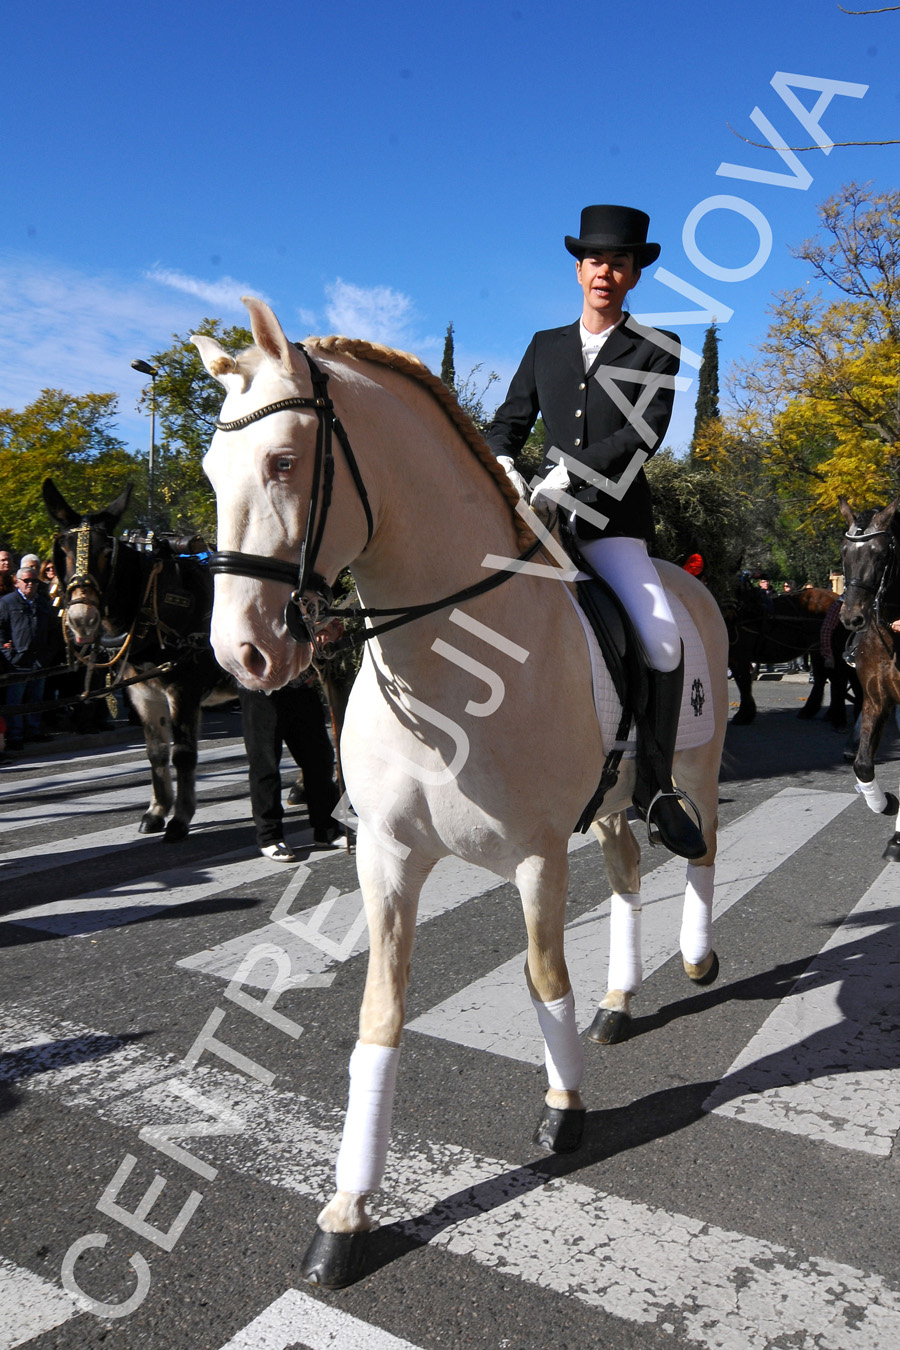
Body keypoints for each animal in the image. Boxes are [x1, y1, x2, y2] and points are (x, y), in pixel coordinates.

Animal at [44, 480, 236, 837]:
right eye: (62, 551)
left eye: (107, 553)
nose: (81, 619)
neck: (152, 601)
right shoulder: (143, 694)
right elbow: (156, 752)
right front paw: (157, 811)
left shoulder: (183, 689)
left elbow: (183, 754)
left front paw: (181, 818)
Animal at [197, 301, 734, 1290]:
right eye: (213, 471)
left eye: (284, 461)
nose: (241, 655)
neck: (451, 661)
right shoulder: (387, 857)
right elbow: (380, 1013)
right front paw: (347, 1213)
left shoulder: (536, 855)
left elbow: (543, 978)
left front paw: (564, 1108)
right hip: (611, 802)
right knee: (629, 872)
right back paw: (620, 1002)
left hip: (699, 764)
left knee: (702, 849)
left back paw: (695, 960)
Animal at [723, 583, 858, 729]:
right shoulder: (733, 657)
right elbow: (741, 682)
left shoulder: (740, 656)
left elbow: (743, 683)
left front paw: (744, 715)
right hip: (819, 650)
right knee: (825, 678)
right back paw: (815, 711)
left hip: (830, 650)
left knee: (838, 679)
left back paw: (838, 718)